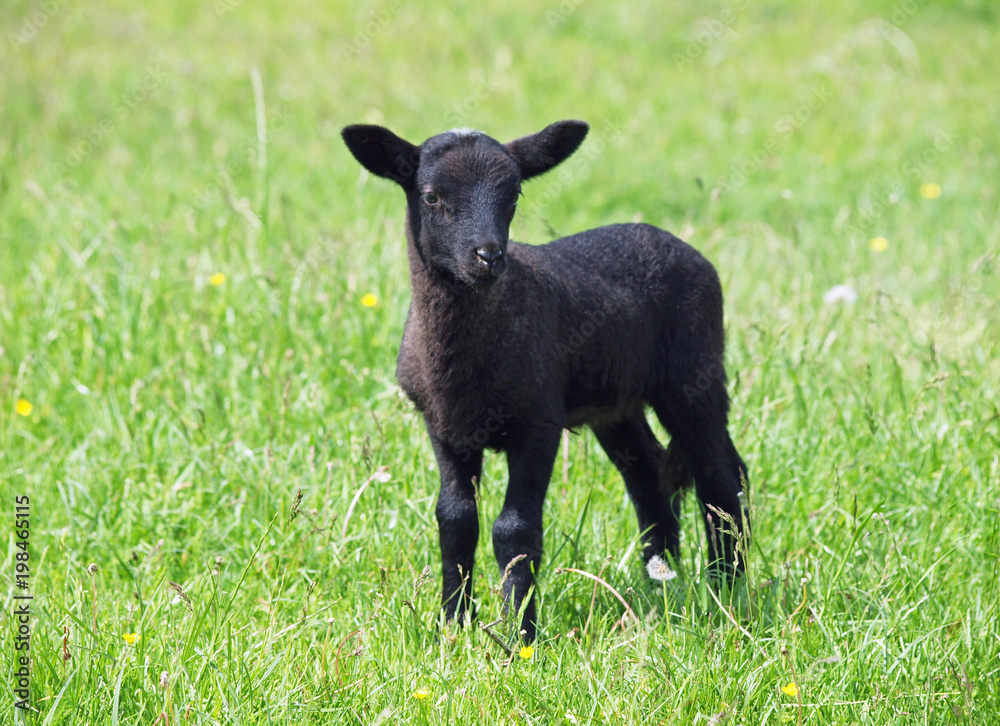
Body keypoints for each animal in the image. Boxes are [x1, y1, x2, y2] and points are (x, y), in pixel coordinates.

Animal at [342, 120, 749, 641]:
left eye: (514, 194)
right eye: (431, 197)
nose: (488, 256)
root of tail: (680, 245)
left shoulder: (538, 421)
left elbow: (514, 529)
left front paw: (521, 635)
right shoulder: (444, 425)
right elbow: (455, 520)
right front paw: (453, 625)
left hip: (692, 375)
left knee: (721, 477)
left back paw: (726, 587)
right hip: (617, 402)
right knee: (649, 474)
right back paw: (662, 581)